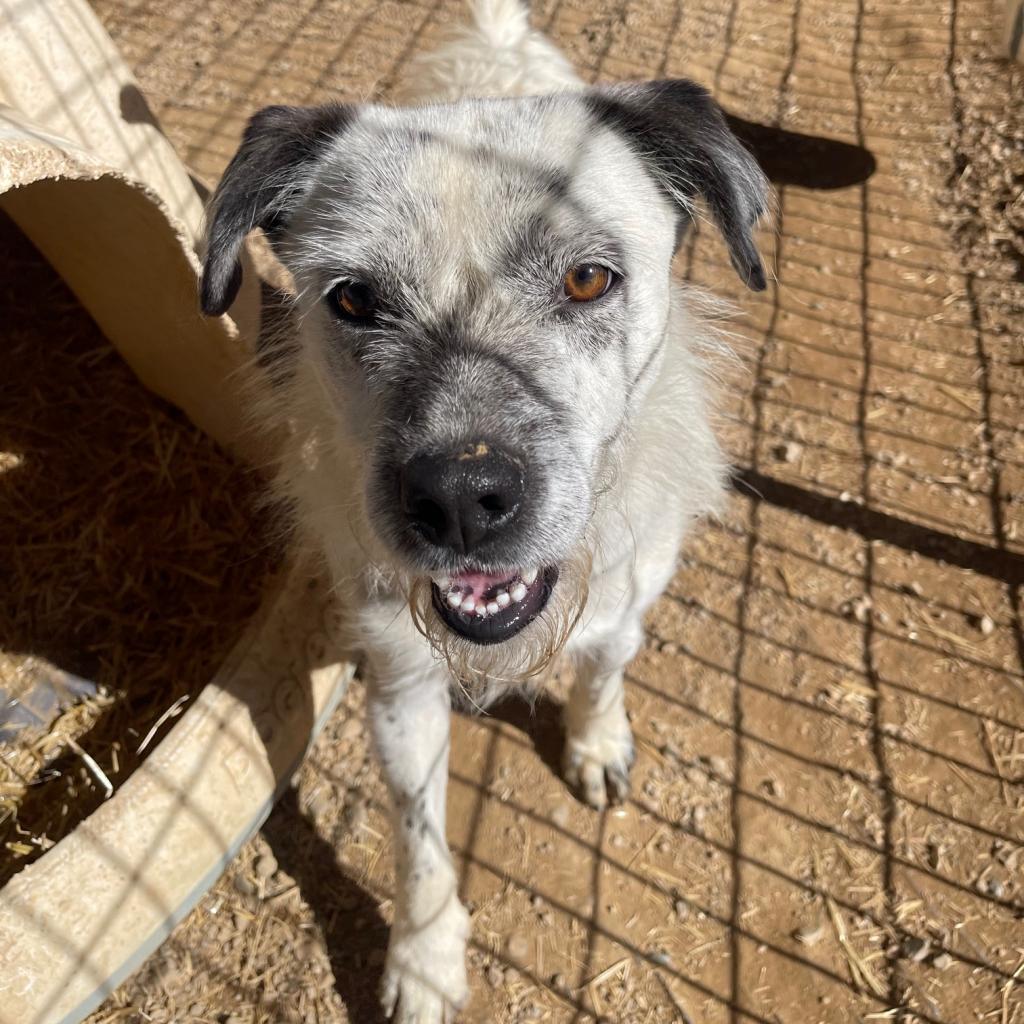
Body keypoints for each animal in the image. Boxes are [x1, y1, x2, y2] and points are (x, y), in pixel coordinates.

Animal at [201, 4, 770, 1019]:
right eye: (353, 297)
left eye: (588, 279)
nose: (463, 501)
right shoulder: (399, 683)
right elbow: (417, 837)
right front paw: (424, 962)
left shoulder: (627, 595)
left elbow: (604, 673)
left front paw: (596, 742)